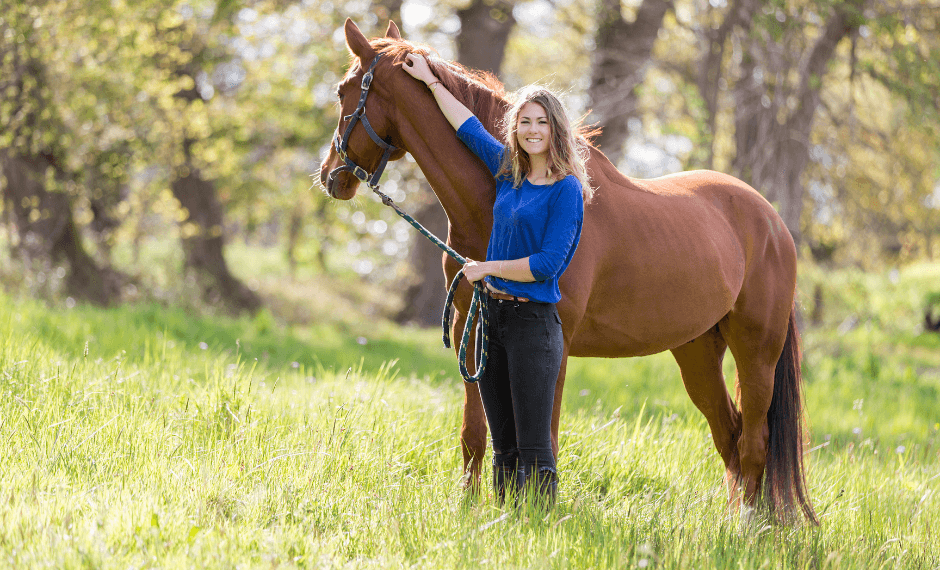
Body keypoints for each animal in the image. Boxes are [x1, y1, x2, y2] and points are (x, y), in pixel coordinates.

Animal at [318, 18, 816, 524]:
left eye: (342, 92)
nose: (330, 175)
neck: (493, 207)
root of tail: (773, 223)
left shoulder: (555, 341)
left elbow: (546, 435)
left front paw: (534, 512)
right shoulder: (470, 328)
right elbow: (476, 433)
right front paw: (470, 507)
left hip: (756, 352)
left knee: (753, 441)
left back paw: (748, 528)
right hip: (697, 352)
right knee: (729, 436)